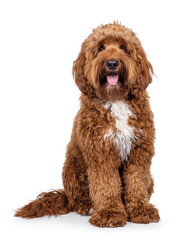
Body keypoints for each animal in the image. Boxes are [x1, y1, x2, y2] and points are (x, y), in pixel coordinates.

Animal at [15, 22, 160, 227]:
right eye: (100, 48)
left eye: (123, 47)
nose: (112, 63)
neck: (115, 99)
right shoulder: (100, 151)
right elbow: (106, 184)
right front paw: (110, 212)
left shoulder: (139, 150)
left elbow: (136, 181)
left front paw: (140, 208)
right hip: (72, 169)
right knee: (77, 198)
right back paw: (87, 206)